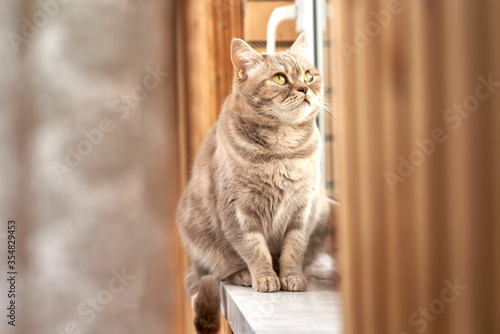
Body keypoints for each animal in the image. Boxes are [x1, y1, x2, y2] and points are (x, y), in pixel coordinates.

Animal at [176, 32, 336, 334]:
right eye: (280, 79)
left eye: (308, 75)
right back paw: (242, 275)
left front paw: (291, 277)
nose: (304, 89)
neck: (283, 153)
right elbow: (255, 249)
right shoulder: (240, 211)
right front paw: (265, 278)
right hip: (201, 242)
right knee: (219, 271)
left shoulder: (303, 210)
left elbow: (293, 250)